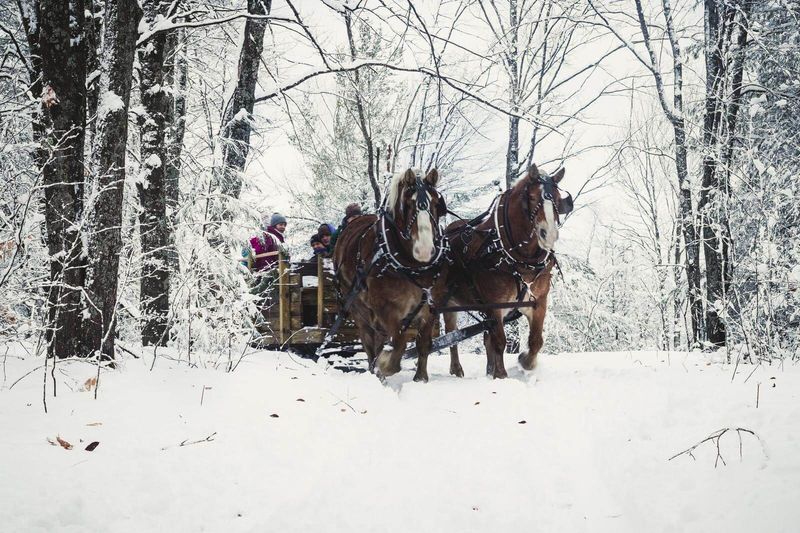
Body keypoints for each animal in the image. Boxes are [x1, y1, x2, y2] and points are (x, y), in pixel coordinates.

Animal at [333, 168, 448, 382]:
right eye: (408, 204)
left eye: (437, 203)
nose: (424, 250)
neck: (412, 267)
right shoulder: (387, 310)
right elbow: (399, 343)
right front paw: (386, 365)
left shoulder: (429, 309)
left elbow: (423, 345)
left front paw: (421, 379)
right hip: (357, 308)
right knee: (369, 341)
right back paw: (375, 371)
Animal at [442, 164, 573, 379]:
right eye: (532, 197)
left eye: (558, 198)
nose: (549, 234)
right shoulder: (495, 306)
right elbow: (500, 342)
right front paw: (501, 375)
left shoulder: (538, 302)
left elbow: (536, 341)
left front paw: (525, 361)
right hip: (445, 302)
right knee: (448, 334)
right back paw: (456, 369)